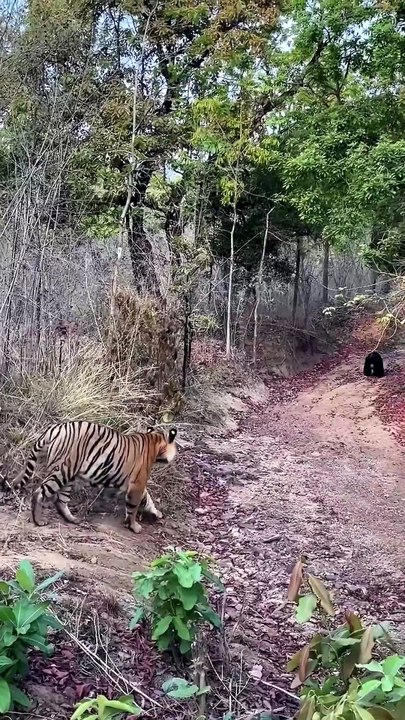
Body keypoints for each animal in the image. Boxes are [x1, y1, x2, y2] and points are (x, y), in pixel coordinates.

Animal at [12, 421, 177, 533]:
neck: (154, 441)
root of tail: (54, 429)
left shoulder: (135, 484)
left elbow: (147, 498)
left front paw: (156, 513)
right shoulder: (137, 483)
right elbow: (134, 506)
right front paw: (134, 526)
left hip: (68, 475)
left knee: (61, 500)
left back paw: (72, 519)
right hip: (62, 471)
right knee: (39, 492)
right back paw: (38, 521)